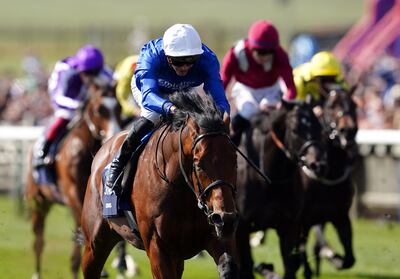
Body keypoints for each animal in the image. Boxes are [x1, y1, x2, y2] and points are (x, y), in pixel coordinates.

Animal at [25, 81, 122, 279]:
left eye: (119, 107)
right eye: (100, 109)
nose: (115, 134)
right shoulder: (72, 194)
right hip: (38, 200)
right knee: (38, 239)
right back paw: (37, 273)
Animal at [79, 91, 239, 278]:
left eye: (234, 161)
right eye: (198, 164)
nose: (225, 219)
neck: (183, 193)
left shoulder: (215, 236)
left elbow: (228, 266)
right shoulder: (158, 248)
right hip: (94, 243)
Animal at [236, 102, 326, 279]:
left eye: (319, 126)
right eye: (295, 129)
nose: (318, 165)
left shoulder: (289, 227)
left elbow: (290, 267)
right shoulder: (241, 228)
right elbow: (246, 268)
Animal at [298, 87, 358, 278]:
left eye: (354, 104)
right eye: (331, 106)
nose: (348, 130)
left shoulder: (340, 216)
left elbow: (349, 259)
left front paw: (334, 257)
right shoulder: (302, 220)